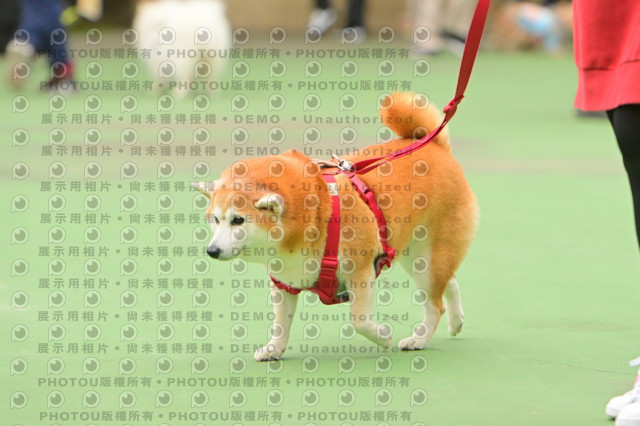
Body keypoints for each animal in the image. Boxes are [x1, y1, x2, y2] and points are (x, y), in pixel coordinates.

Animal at [192, 92, 478, 361]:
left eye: (238, 220)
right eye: (215, 219)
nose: (212, 251)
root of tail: (435, 145)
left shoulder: (361, 271)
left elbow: (359, 320)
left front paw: (383, 336)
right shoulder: (284, 282)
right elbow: (281, 324)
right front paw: (274, 349)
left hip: (427, 258)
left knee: (435, 303)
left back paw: (418, 339)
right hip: (417, 256)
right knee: (447, 284)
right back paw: (456, 322)